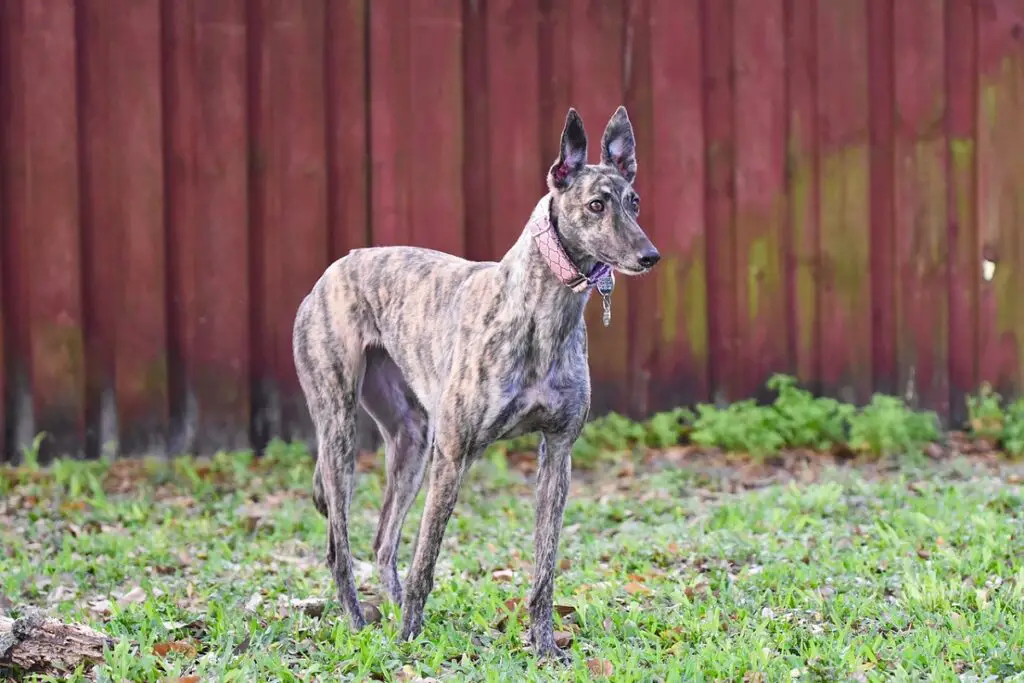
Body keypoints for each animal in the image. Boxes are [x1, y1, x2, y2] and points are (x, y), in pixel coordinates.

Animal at [294, 107, 663, 663]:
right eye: (596, 205)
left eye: (634, 202)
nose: (649, 256)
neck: (541, 314)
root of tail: (333, 270)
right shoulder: (453, 455)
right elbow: (427, 561)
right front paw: (408, 643)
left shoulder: (558, 452)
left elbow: (544, 570)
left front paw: (545, 648)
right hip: (340, 432)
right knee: (341, 549)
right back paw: (362, 626)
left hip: (411, 439)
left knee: (383, 542)